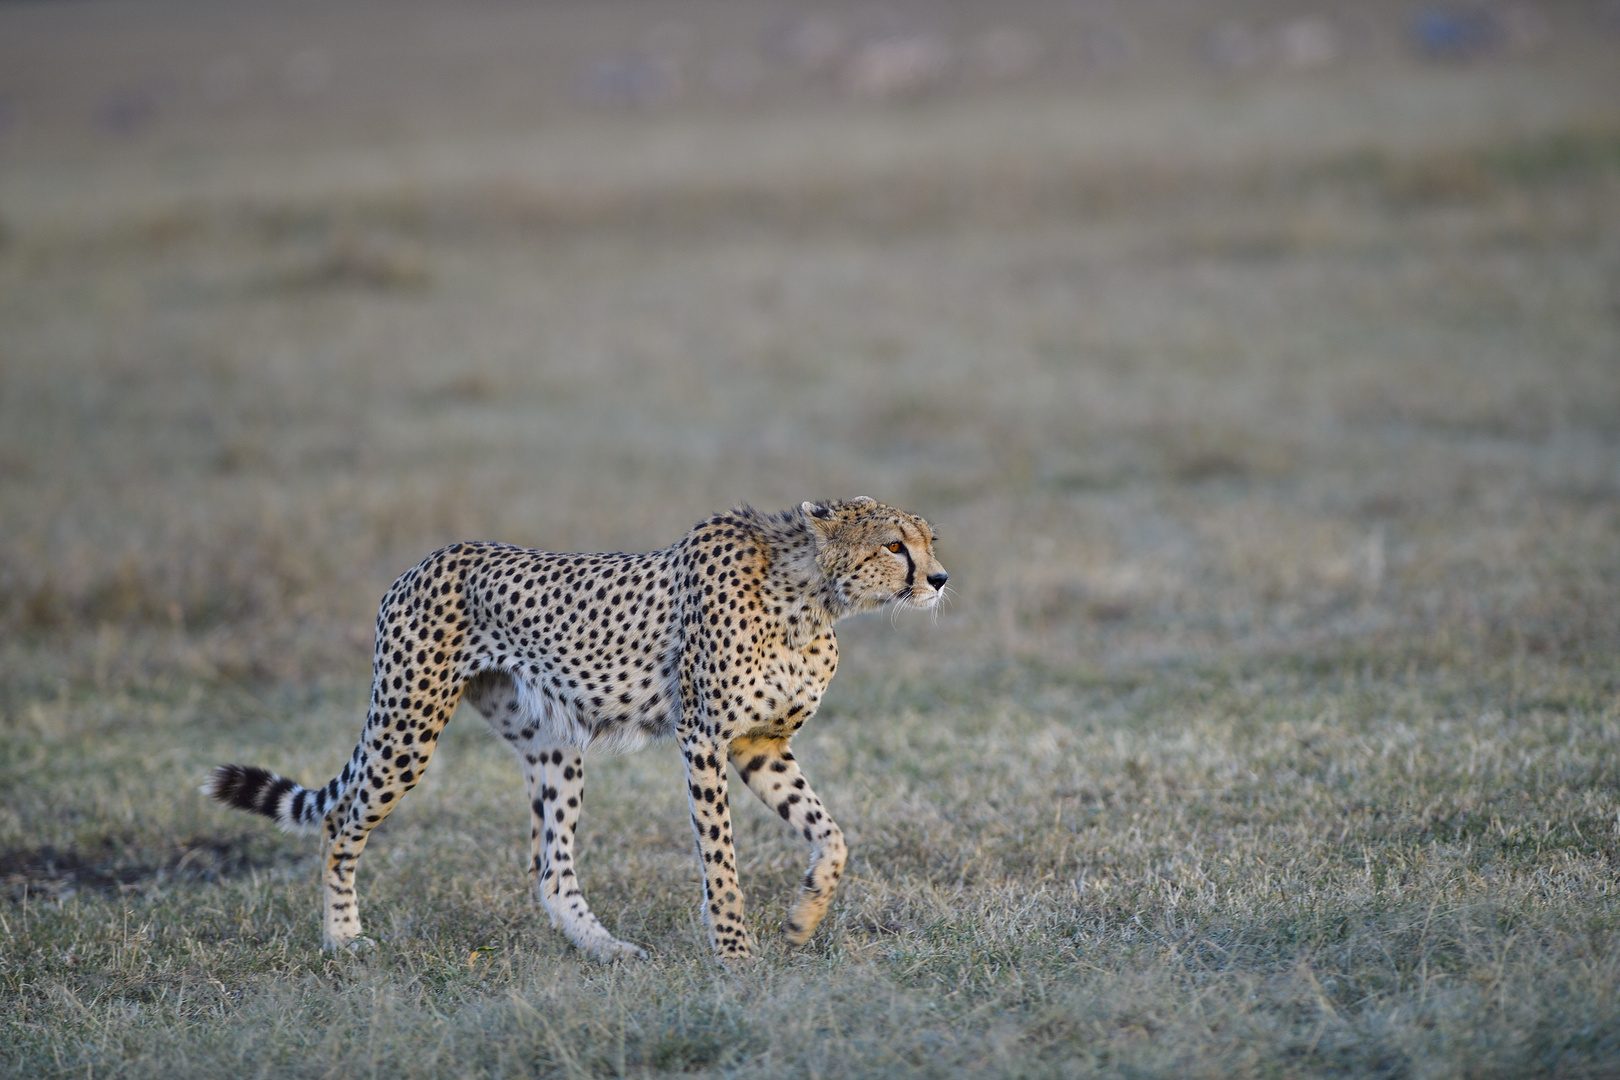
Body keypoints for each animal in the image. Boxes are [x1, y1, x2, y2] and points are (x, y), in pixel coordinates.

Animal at [199, 498, 946, 965]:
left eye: (929, 541)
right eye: (894, 545)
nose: (940, 578)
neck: (811, 597)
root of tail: (424, 561)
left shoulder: (759, 746)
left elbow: (833, 836)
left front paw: (802, 920)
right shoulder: (704, 740)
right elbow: (722, 859)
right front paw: (735, 953)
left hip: (551, 745)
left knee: (551, 869)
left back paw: (609, 950)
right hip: (408, 722)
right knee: (340, 822)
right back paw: (344, 940)